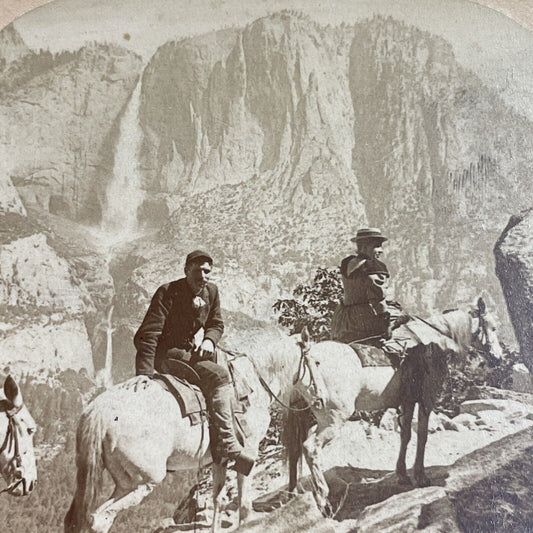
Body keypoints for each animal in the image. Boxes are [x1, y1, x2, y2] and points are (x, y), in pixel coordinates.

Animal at [64, 354, 272, 532]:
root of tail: (99, 411)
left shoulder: (218, 458)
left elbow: (217, 498)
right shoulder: (249, 450)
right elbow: (243, 493)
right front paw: (246, 521)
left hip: (112, 481)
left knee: (81, 519)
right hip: (142, 481)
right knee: (100, 519)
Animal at [284, 298, 500, 512]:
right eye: (493, 327)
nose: (498, 357)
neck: (434, 341)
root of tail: (307, 357)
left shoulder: (407, 401)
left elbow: (405, 435)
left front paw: (402, 474)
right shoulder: (426, 400)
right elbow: (422, 435)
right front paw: (420, 476)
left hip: (303, 416)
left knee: (294, 451)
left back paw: (293, 493)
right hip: (333, 418)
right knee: (311, 448)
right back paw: (323, 499)